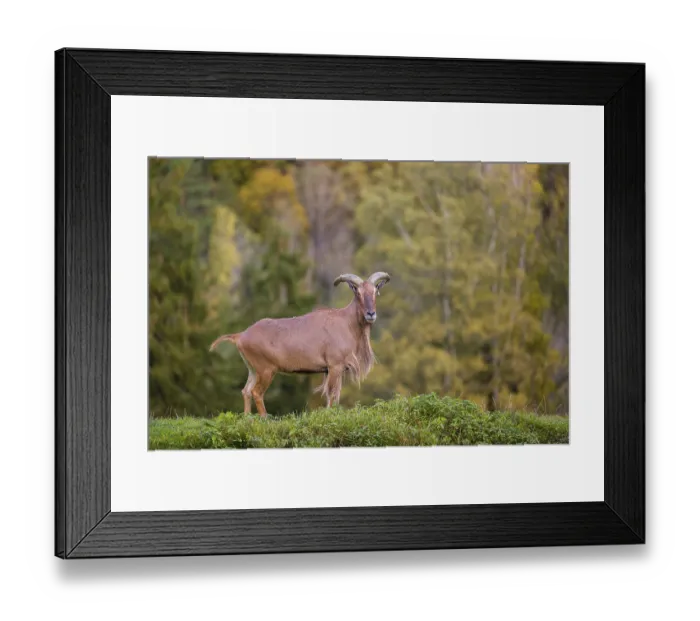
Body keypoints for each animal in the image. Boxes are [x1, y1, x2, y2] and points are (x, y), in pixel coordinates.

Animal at [209, 271, 391, 417]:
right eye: (358, 292)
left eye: (375, 292)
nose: (371, 314)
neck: (347, 323)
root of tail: (240, 336)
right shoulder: (335, 366)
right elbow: (332, 395)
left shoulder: (331, 370)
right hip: (266, 370)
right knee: (256, 392)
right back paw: (265, 418)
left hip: (253, 370)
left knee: (246, 391)